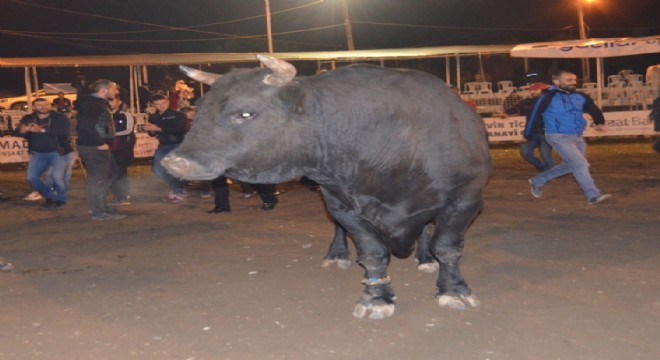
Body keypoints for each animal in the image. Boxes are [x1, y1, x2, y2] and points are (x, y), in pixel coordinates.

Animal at [162, 54, 492, 320]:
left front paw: (454, 290)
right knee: (339, 230)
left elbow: (447, 247)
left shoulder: (466, 199)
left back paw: (424, 258)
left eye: (245, 113)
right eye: (199, 111)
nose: (175, 161)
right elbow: (372, 252)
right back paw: (337, 255)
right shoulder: (340, 202)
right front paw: (376, 298)